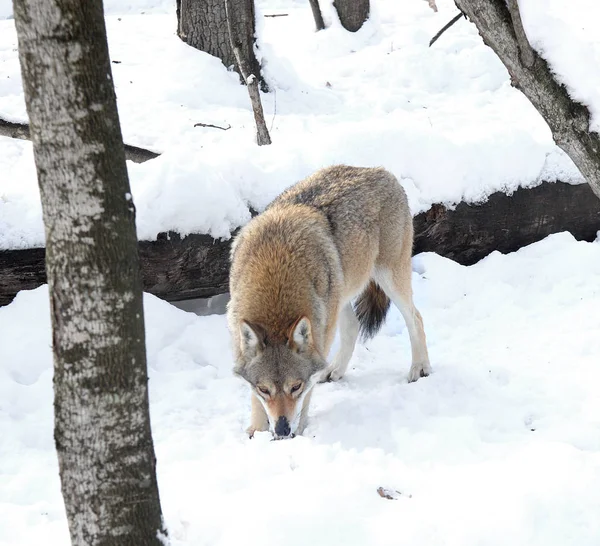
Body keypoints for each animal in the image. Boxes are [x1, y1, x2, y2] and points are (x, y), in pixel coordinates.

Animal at [229, 164, 432, 436]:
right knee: (354, 326)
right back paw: (335, 370)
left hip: (386, 280)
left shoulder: (319, 338)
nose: (282, 430)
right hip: (339, 295)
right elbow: (253, 396)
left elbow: (308, 395)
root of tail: (381, 170)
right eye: (265, 389)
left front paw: (299, 430)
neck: (274, 274)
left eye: (296, 387)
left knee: (416, 317)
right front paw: (257, 431)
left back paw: (419, 368)